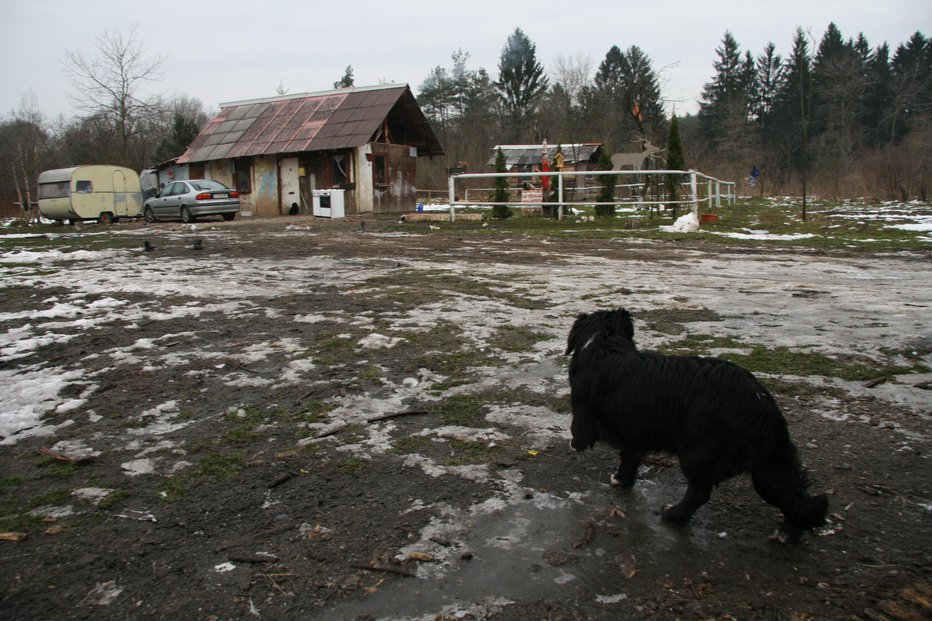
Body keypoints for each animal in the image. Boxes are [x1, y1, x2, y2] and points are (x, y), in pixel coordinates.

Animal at [564, 308, 828, 540]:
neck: (602, 341)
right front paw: (622, 480)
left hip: (696, 451)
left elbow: (581, 432)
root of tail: (760, 403)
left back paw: (673, 514)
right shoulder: (635, 428)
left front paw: (576, 446)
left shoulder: (584, 410)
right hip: (769, 465)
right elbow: (629, 457)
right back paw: (788, 533)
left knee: (700, 492)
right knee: (797, 498)